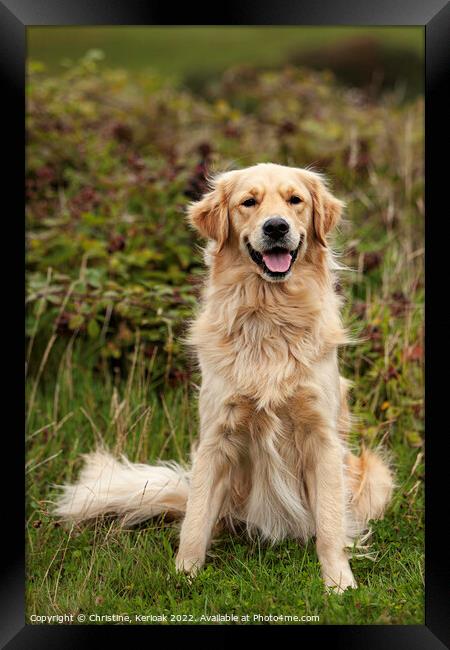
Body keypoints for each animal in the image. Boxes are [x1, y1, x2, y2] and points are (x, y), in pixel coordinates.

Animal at [54, 163, 394, 592]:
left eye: (295, 200)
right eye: (248, 202)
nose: (277, 227)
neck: (269, 315)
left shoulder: (322, 436)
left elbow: (331, 525)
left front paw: (339, 582)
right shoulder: (216, 436)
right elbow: (196, 521)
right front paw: (184, 574)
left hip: (377, 474)